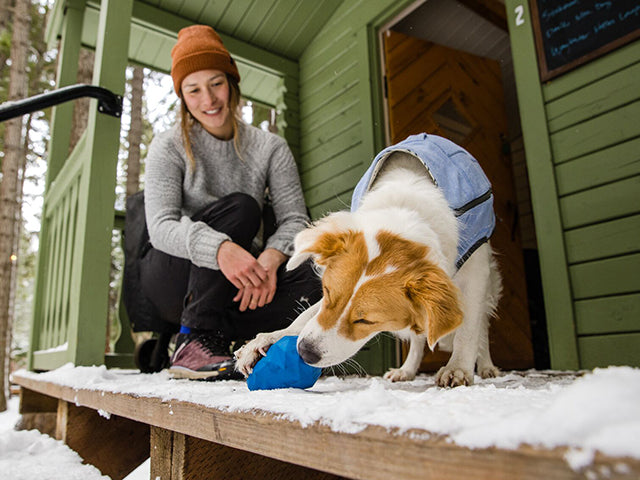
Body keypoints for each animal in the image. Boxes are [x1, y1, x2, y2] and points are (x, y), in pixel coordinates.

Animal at [238, 133, 502, 388]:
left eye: (366, 320)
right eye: (328, 293)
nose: (305, 351)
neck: (405, 208)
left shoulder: (475, 271)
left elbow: (469, 329)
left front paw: (458, 367)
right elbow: (306, 316)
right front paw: (269, 339)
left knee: (482, 326)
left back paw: (487, 366)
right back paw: (407, 370)